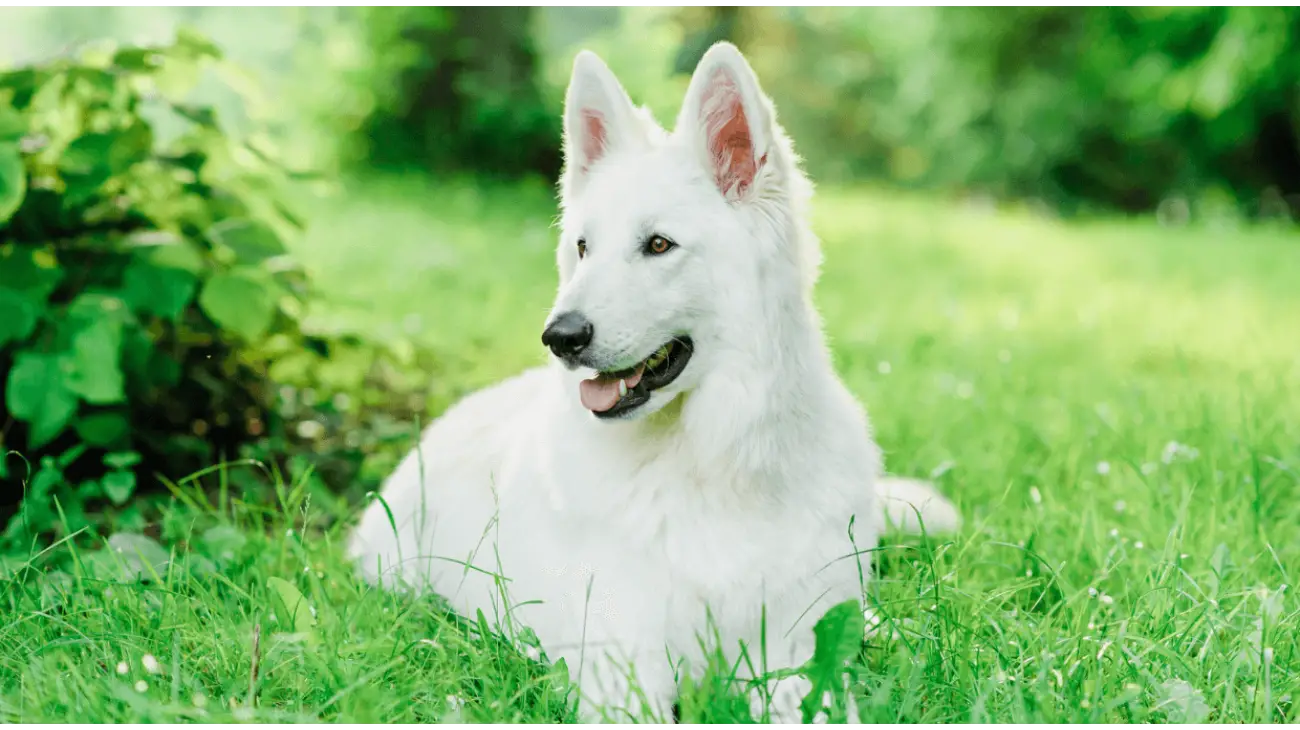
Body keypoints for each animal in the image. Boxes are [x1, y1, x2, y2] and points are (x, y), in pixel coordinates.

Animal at [351, 44, 961, 722]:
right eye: (583, 248)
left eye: (660, 244)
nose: (560, 337)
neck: (706, 462)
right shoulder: (622, 663)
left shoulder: (794, 654)